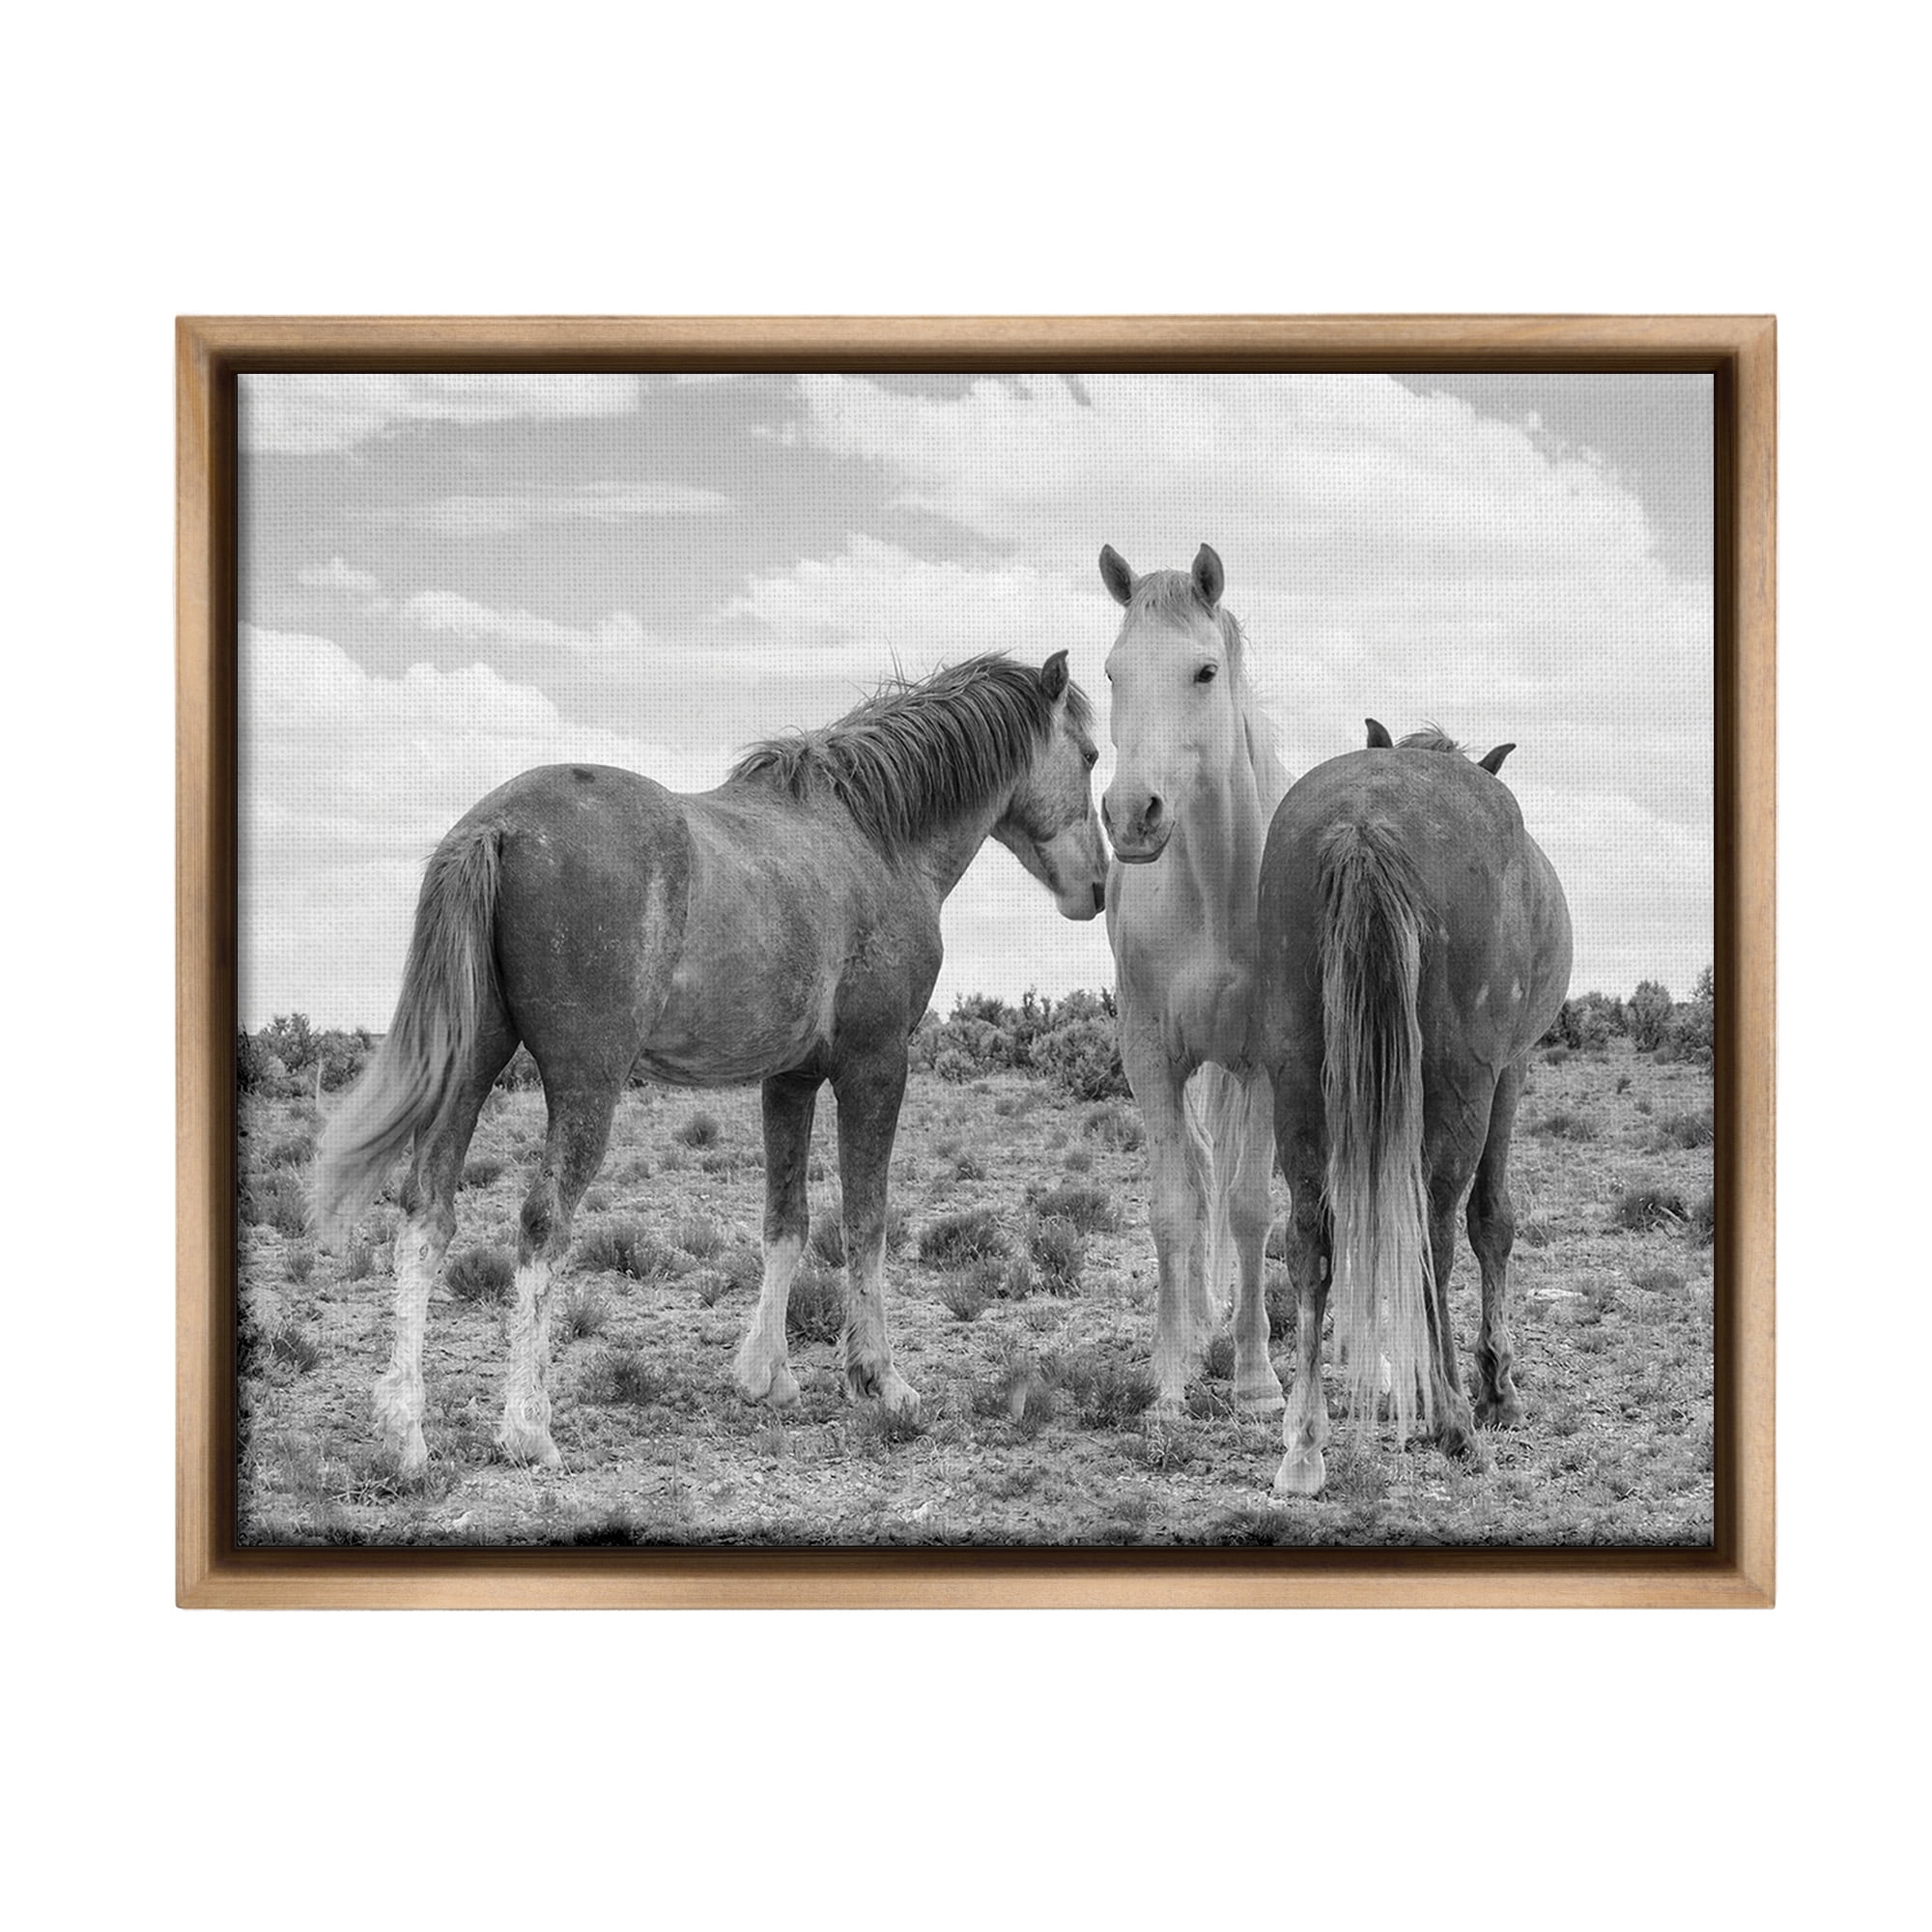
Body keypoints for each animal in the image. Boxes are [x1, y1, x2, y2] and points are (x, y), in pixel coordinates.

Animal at [312, 651, 1108, 1477]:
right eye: (1090, 755)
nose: (1097, 887)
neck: (874, 839)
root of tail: (495, 826)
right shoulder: (877, 1065)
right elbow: (866, 1222)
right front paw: (879, 1380)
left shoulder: (790, 1079)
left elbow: (786, 1222)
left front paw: (766, 1374)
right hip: (586, 1086)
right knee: (540, 1224)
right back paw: (528, 1427)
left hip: (471, 1069)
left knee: (426, 1215)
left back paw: (405, 1431)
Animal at [1257, 724, 1572, 1495]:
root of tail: (1365, 823)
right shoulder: (1510, 1070)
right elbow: (1492, 1220)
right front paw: (1498, 1389)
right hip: (1463, 1086)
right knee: (1436, 1234)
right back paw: (1455, 1418)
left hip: (1297, 1079)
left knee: (1309, 1238)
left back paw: (1304, 1444)